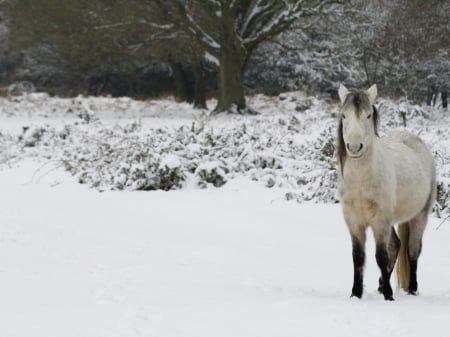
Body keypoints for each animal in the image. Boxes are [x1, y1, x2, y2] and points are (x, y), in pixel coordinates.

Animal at [338, 84, 436, 300]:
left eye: (367, 115)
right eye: (344, 115)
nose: (354, 147)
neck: (361, 181)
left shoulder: (380, 220)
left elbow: (381, 255)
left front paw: (389, 296)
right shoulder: (354, 221)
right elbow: (358, 256)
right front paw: (356, 294)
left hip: (419, 216)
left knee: (412, 250)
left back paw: (411, 289)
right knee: (397, 245)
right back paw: (382, 285)